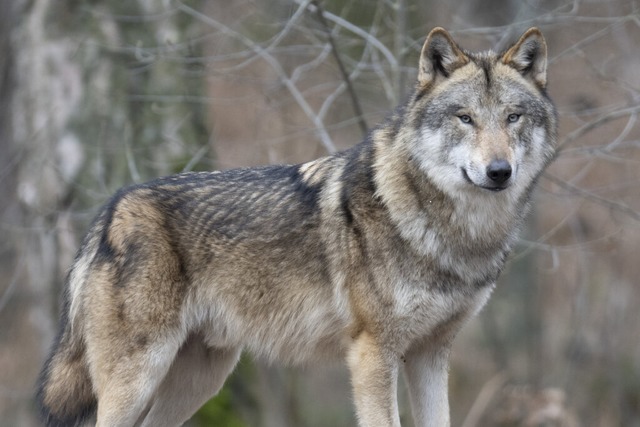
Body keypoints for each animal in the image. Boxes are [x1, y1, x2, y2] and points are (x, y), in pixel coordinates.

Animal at [36, 27, 556, 427]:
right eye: (464, 118)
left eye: (512, 117)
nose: (499, 171)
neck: (453, 232)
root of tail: (110, 209)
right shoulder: (373, 352)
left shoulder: (431, 354)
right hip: (140, 376)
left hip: (198, 379)